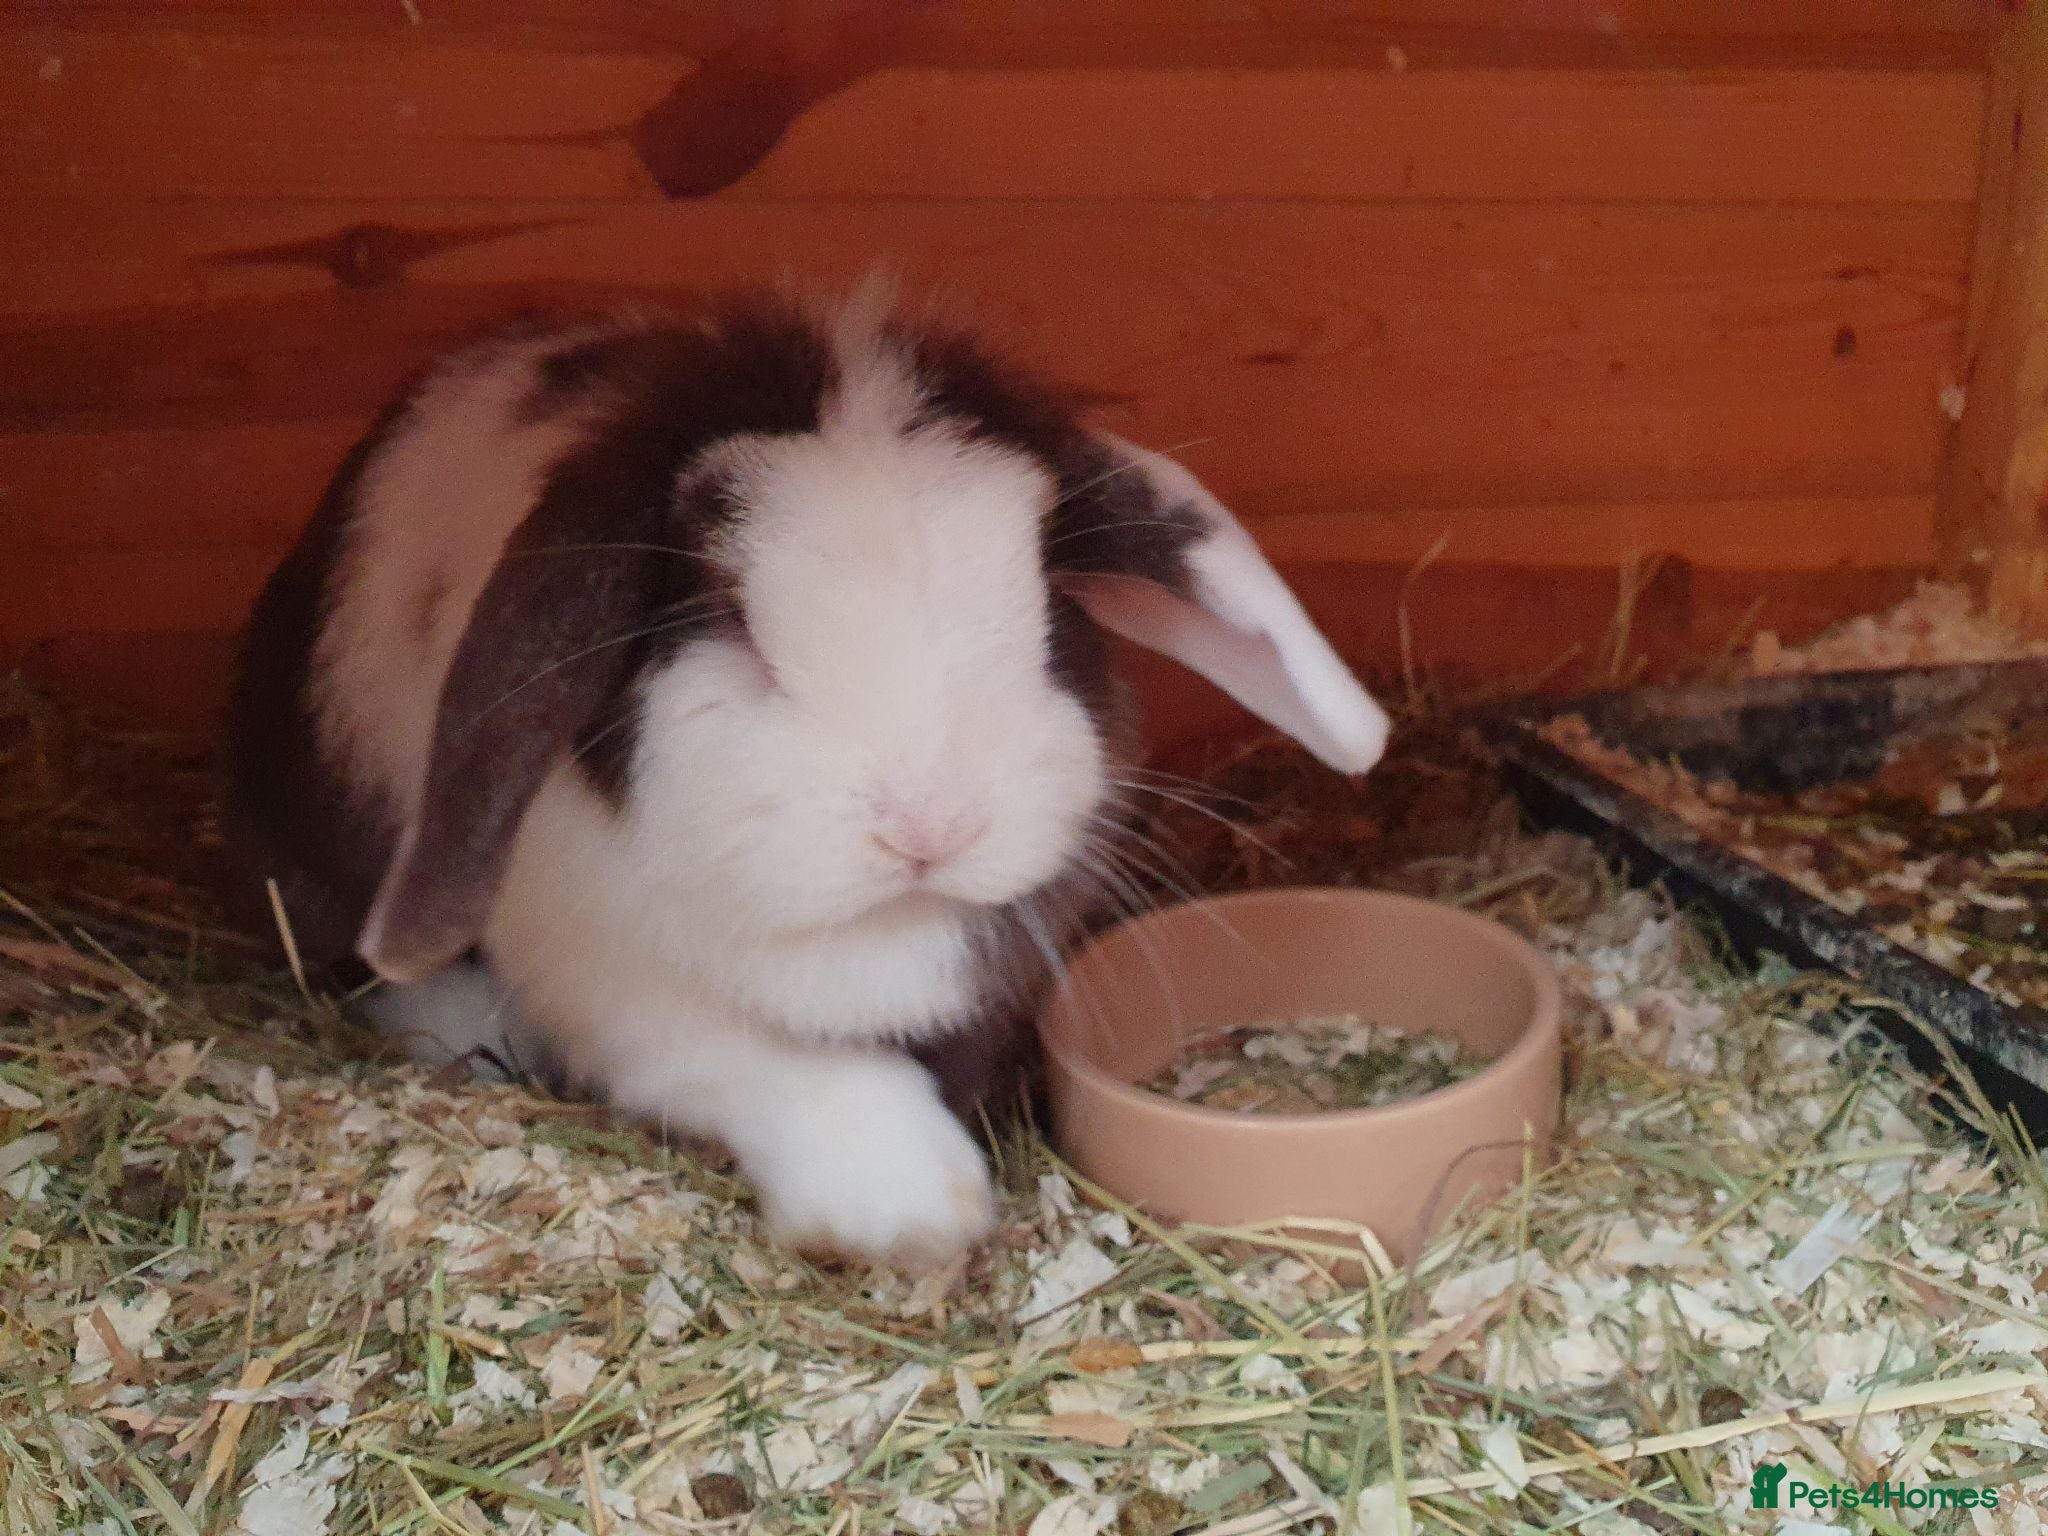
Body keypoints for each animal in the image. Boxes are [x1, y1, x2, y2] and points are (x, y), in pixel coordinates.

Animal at [226, 285, 1389, 1270]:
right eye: (732, 622)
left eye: (1048, 611)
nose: (929, 827)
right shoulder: (621, 991)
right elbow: (759, 1067)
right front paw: (917, 1206)